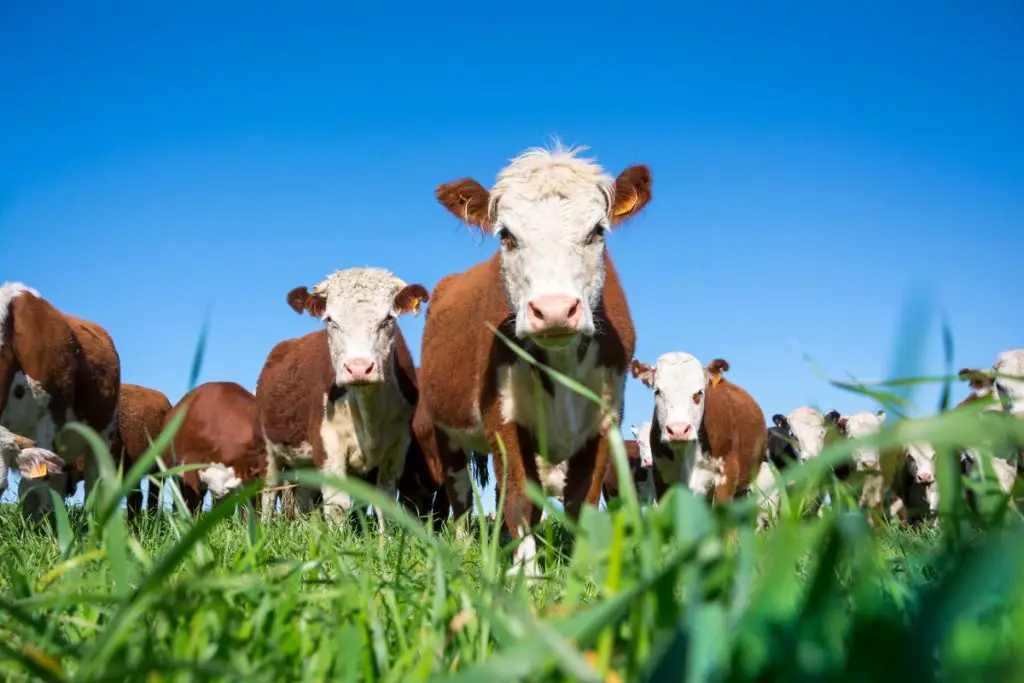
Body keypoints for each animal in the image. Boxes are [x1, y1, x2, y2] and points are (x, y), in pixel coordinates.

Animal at [258, 266, 430, 528]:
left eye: (387, 319)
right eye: (331, 321)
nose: (358, 368)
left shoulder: (398, 447)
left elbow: (384, 504)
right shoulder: (328, 444)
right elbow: (338, 505)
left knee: (303, 497)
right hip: (268, 449)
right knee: (268, 492)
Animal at [419, 143, 651, 577]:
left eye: (596, 232)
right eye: (507, 236)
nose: (555, 309)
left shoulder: (605, 417)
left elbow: (582, 501)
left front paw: (581, 573)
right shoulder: (502, 416)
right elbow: (518, 499)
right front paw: (527, 574)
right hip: (444, 430)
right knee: (459, 496)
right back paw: (461, 548)